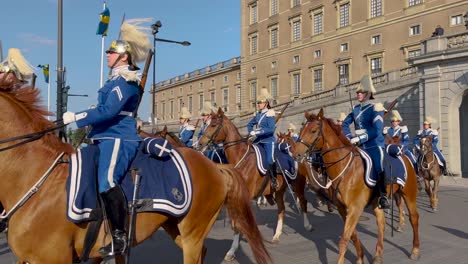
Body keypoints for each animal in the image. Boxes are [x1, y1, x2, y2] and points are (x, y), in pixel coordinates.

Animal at [0, 84, 270, 264]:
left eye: (213, 124)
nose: (201, 141)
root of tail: (213, 166)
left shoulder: (54, 258)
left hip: (193, 231)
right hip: (175, 226)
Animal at [196, 108, 312, 260]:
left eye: (213, 125)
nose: (199, 144)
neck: (240, 158)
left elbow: (240, 223)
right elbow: (235, 223)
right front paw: (232, 250)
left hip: (297, 185)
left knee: (303, 202)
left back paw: (308, 225)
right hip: (279, 191)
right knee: (281, 209)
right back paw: (276, 235)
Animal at [292, 108, 420, 262]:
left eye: (313, 130)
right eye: (301, 130)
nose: (295, 154)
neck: (345, 169)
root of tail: (404, 154)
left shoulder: (355, 208)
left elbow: (344, 240)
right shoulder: (343, 209)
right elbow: (352, 235)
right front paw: (360, 258)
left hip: (409, 193)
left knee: (414, 218)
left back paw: (415, 250)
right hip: (377, 201)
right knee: (381, 224)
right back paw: (378, 255)